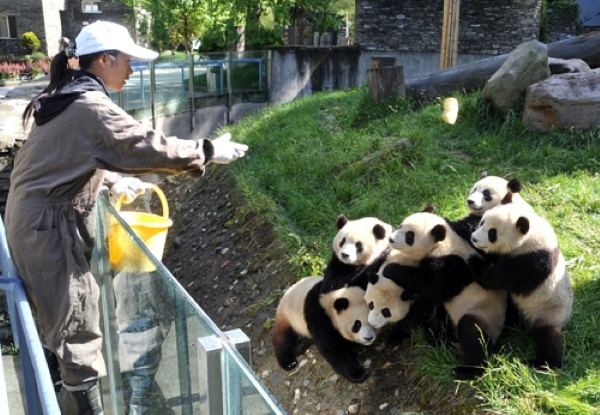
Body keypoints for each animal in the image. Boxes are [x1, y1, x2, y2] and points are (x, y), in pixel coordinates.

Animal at [386, 208, 508, 380]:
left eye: (409, 236)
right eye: (401, 225)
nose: (391, 239)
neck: (443, 242)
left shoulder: (450, 265)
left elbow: (431, 287)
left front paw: (390, 269)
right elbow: (423, 302)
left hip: (484, 316)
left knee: (472, 334)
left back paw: (468, 370)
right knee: (445, 318)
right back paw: (438, 339)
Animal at [472, 200, 576, 368]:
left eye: (492, 233)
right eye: (482, 222)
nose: (474, 238)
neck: (530, 235)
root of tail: (566, 319)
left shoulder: (533, 261)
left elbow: (503, 278)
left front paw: (477, 265)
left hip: (549, 311)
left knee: (547, 335)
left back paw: (543, 363)